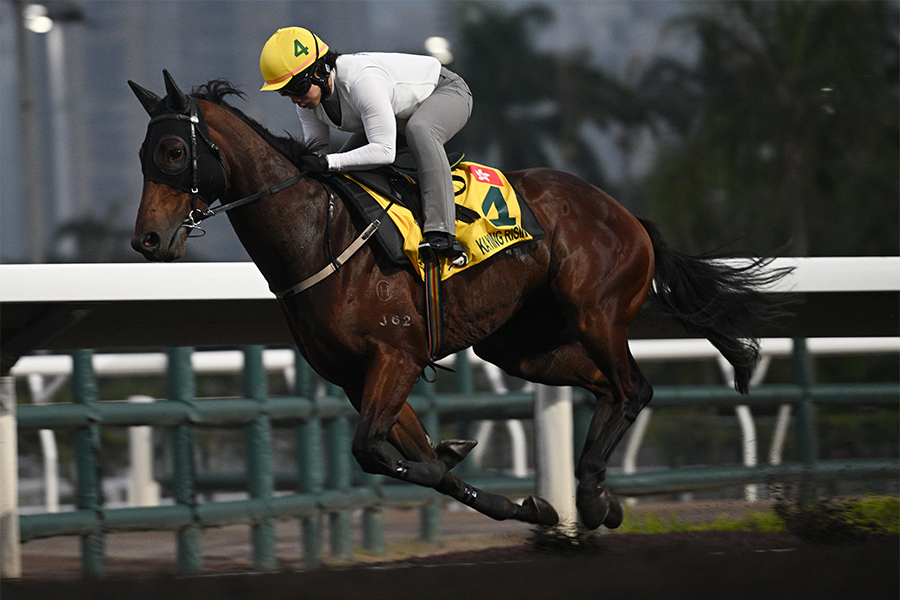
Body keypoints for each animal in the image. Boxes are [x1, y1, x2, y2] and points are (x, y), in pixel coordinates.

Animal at [130, 74, 792, 528]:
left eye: (173, 153)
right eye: (143, 155)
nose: (147, 240)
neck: (318, 235)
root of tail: (626, 214)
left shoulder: (393, 357)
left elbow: (379, 452)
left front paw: (452, 454)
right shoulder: (356, 375)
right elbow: (408, 458)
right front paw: (525, 506)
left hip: (596, 313)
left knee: (635, 388)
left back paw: (593, 492)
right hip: (522, 346)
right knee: (609, 388)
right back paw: (595, 496)